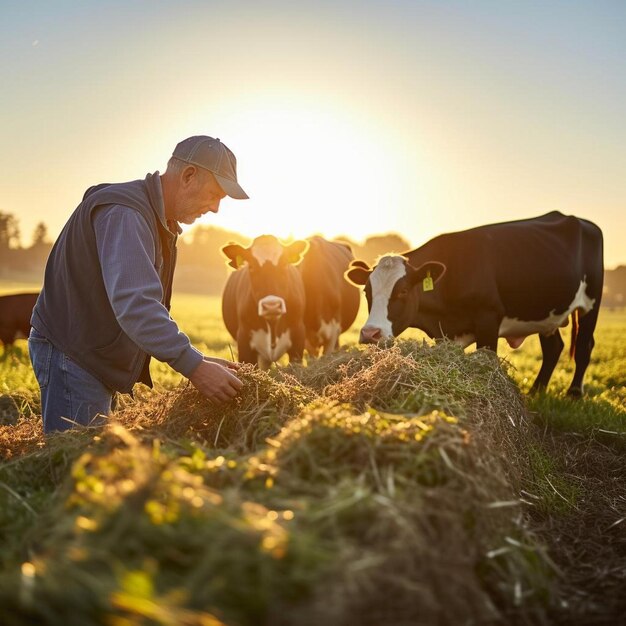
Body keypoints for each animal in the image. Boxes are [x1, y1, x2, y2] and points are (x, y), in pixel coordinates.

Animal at [344, 210, 604, 394]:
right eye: (366, 291)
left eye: (404, 290)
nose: (370, 334)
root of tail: (582, 222)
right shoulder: (445, 334)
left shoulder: (489, 319)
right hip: (546, 313)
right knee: (553, 348)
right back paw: (536, 391)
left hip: (591, 303)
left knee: (584, 345)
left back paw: (574, 393)